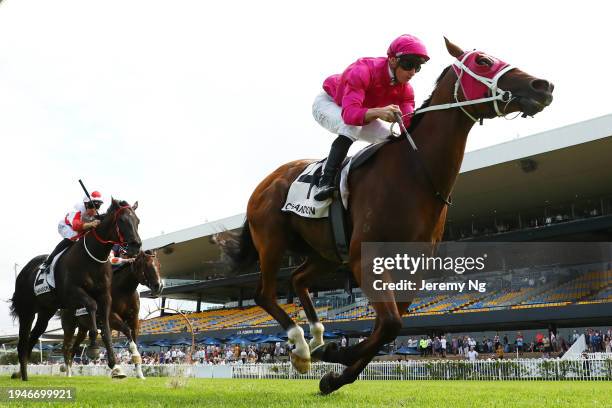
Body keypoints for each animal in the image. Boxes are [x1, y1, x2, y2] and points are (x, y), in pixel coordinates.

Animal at [11, 199, 141, 380]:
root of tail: (24, 271)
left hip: (45, 311)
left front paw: (115, 365)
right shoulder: (73, 292)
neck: (93, 258)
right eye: (122, 220)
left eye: (137, 221)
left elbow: (107, 329)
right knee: (22, 342)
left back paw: (23, 375)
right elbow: (92, 306)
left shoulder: (105, 296)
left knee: (32, 338)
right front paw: (93, 346)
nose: (136, 246)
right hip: (27, 311)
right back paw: (23, 375)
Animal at [58, 249, 160, 380]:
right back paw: (68, 372)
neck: (124, 291)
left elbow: (133, 337)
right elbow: (126, 331)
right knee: (66, 347)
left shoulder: (134, 319)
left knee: (74, 348)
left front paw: (139, 373)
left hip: (83, 328)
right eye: (147, 265)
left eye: (159, 265)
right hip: (69, 325)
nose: (158, 286)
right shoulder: (111, 317)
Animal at [220, 39, 556, 396]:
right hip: (271, 240)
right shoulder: (365, 259)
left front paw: (334, 373)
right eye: (482, 61)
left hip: (325, 253)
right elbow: (390, 324)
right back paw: (300, 346)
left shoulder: (412, 268)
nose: (542, 86)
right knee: (264, 292)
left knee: (297, 280)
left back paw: (317, 338)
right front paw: (337, 353)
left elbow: (388, 327)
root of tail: (266, 182)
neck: (415, 173)